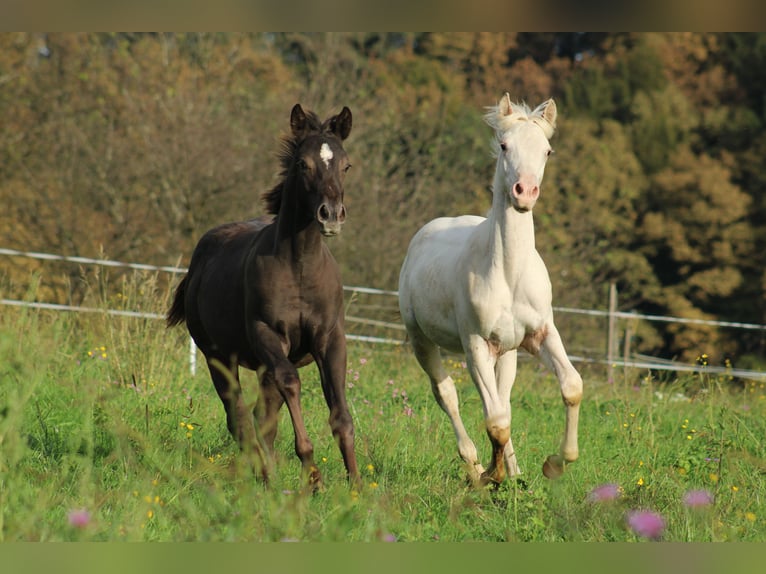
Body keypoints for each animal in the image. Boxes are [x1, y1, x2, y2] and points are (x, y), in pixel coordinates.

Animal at [166, 103, 358, 490]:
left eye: (346, 165)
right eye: (303, 164)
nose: (331, 216)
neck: (300, 268)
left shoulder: (331, 339)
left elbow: (340, 413)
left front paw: (359, 486)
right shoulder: (267, 335)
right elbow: (292, 383)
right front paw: (312, 472)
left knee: (261, 416)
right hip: (218, 357)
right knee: (239, 416)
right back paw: (266, 476)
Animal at [402, 94, 584, 486]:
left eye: (547, 151)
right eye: (504, 146)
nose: (525, 193)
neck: (509, 275)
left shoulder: (541, 333)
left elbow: (571, 386)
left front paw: (553, 464)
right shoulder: (475, 345)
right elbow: (496, 421)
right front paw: (490, 475)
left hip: (509, 352)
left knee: (504, 397)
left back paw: (513, 469)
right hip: (421, 340)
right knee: (447, 394)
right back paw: (473, 465)